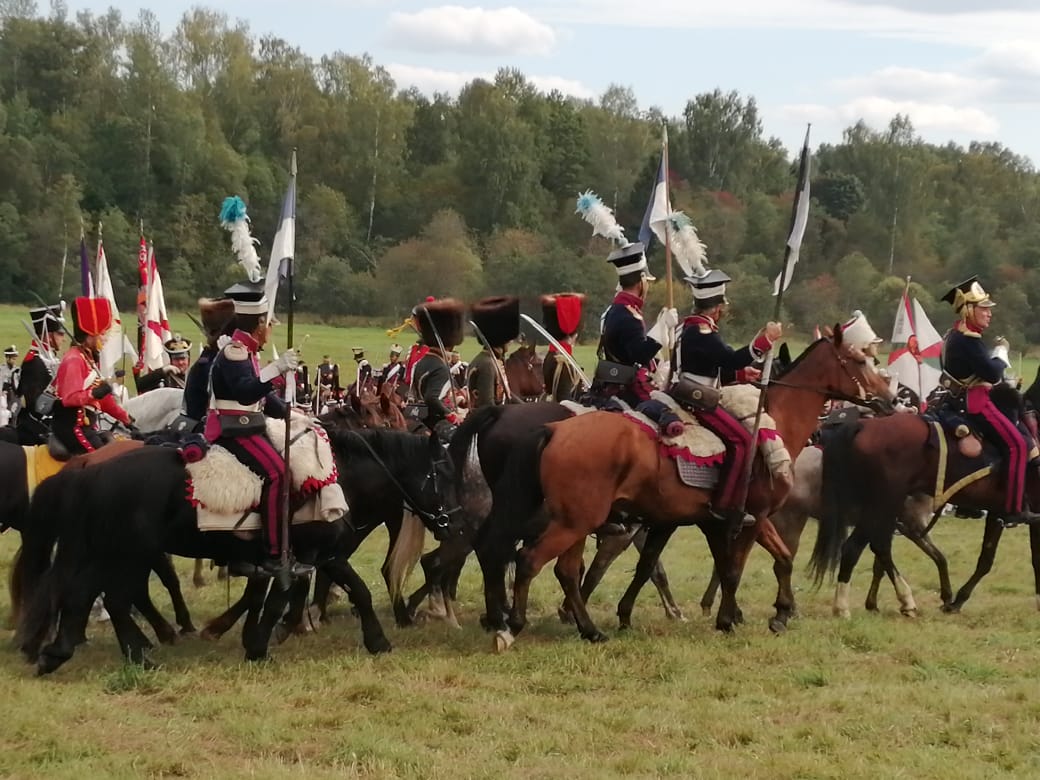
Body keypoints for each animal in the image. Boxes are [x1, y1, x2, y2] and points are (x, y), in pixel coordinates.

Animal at [15, 428, 455, 678]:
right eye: (444, 473)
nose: (452, 522)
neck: (335, 476)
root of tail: (91, 469)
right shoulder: (315, 554)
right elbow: (317, 594)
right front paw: (260, 645)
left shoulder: (306, 556)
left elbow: (288, 595)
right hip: (127, 554)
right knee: (111, 598)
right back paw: (129, 652)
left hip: (114, 553)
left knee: (90, 597)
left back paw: (77, 651)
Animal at [476, 332, 894, 648]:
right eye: (859, 361)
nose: (890, 400)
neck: (770, 421)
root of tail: (553, 430)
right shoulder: (748, 517)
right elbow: (733, 568)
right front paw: (730, 618)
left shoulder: (716, 521)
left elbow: (778, 559)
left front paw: (778, 612)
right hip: (573, 523)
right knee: (527, 560)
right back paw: (510, 626)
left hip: (576, 522)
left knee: (559, 568)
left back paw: (587, 629)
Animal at [807, 382, 1040, 619]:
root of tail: (863, 426)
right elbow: (1019, 559)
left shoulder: (996, 511)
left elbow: (986, 558)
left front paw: (954, 600)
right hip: (882, 504)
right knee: (856, 547)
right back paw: (849, 607)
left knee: (874, 548)